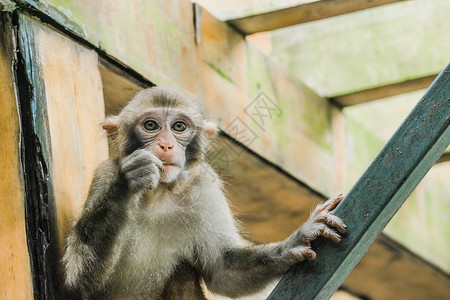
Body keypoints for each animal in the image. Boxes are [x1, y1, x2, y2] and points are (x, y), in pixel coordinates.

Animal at [61, 85, 346, 298]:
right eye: (151, 125)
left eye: (179, 127)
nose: (165, 145)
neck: (158, 194)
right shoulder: (105, 174)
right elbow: (79, 282)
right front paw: (128, 181)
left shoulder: (204, 185)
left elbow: (223, 269)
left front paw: (298, 240)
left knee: (183, 271)